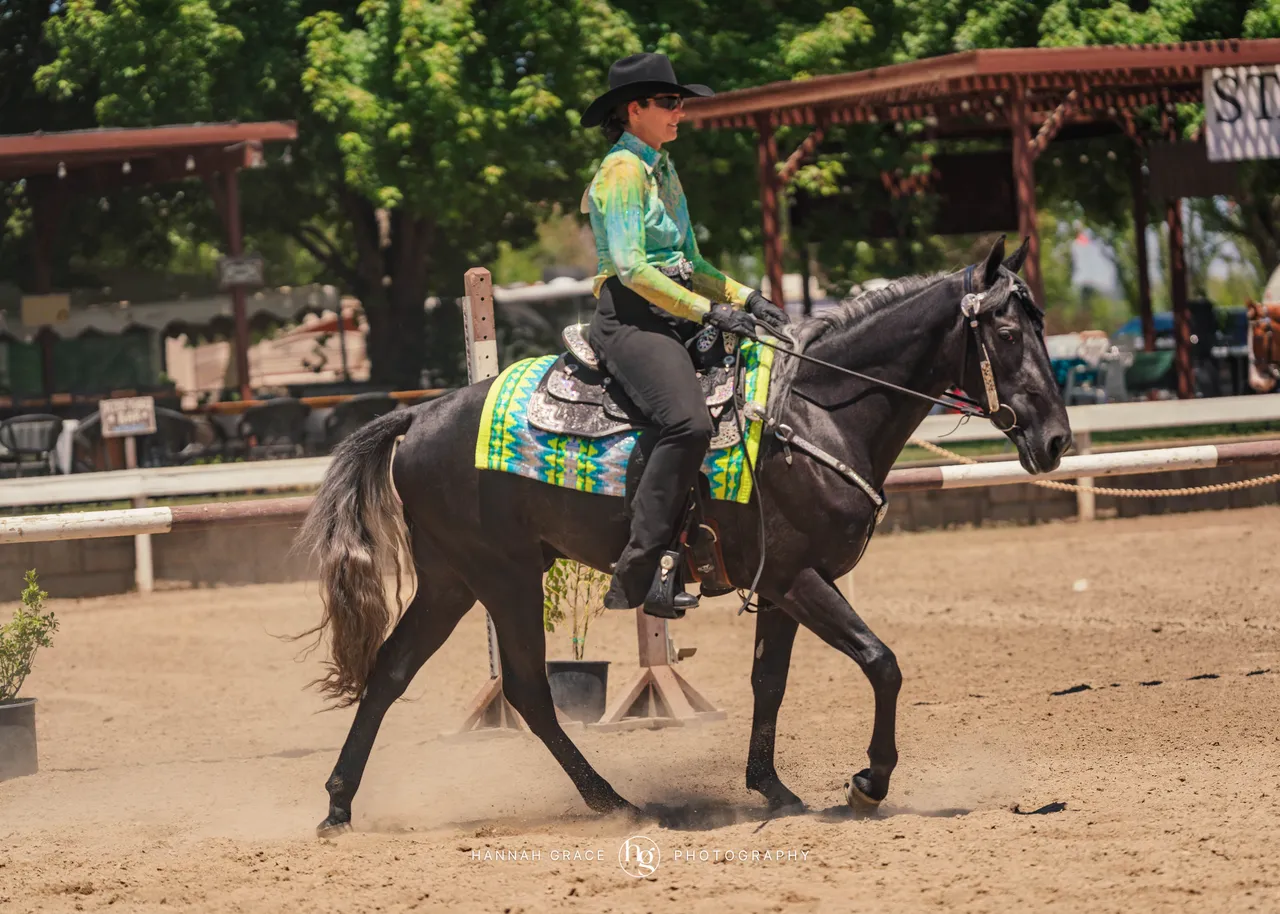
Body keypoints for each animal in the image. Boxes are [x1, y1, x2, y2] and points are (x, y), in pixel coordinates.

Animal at [298, 236, 1072, 835]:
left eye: (1040, 327)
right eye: (1008, 333)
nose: (1057, 440)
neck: (812, 411)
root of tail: (419, 417)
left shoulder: (782, 585)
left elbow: (769, 681)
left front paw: (773, 789)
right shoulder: (798, 577)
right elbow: (882, 662)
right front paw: (868, 782)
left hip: (453, 581)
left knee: (394, 671)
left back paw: (338, 807)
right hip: (504, 578)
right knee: (525, 690)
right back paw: (612, 801)